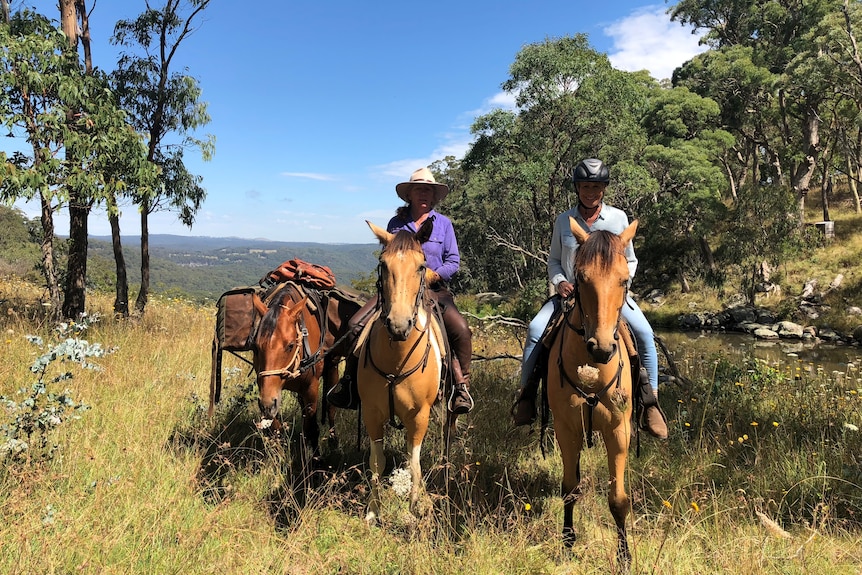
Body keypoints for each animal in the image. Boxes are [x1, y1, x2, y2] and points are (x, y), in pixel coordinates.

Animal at [358, 218, 452, 524]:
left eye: (421, 266)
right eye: (383, 265)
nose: (399, 326)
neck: (396, 360)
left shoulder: (419, 415)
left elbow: (414, 463)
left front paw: (414, 508)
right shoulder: (372, 413)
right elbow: (377, 461)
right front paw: (373, 510)